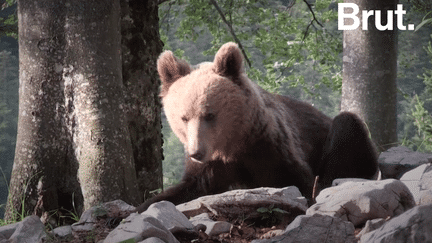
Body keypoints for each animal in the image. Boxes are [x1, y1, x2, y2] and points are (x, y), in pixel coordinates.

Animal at [136, 42, 378, 214]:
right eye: (184, 118)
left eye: (210, 115)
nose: (196, 152)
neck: (233, 144)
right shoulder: (210, 168)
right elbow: (184, 190)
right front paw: (142, 207)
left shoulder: (270, 147)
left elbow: (299, 181)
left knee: (348, 127)